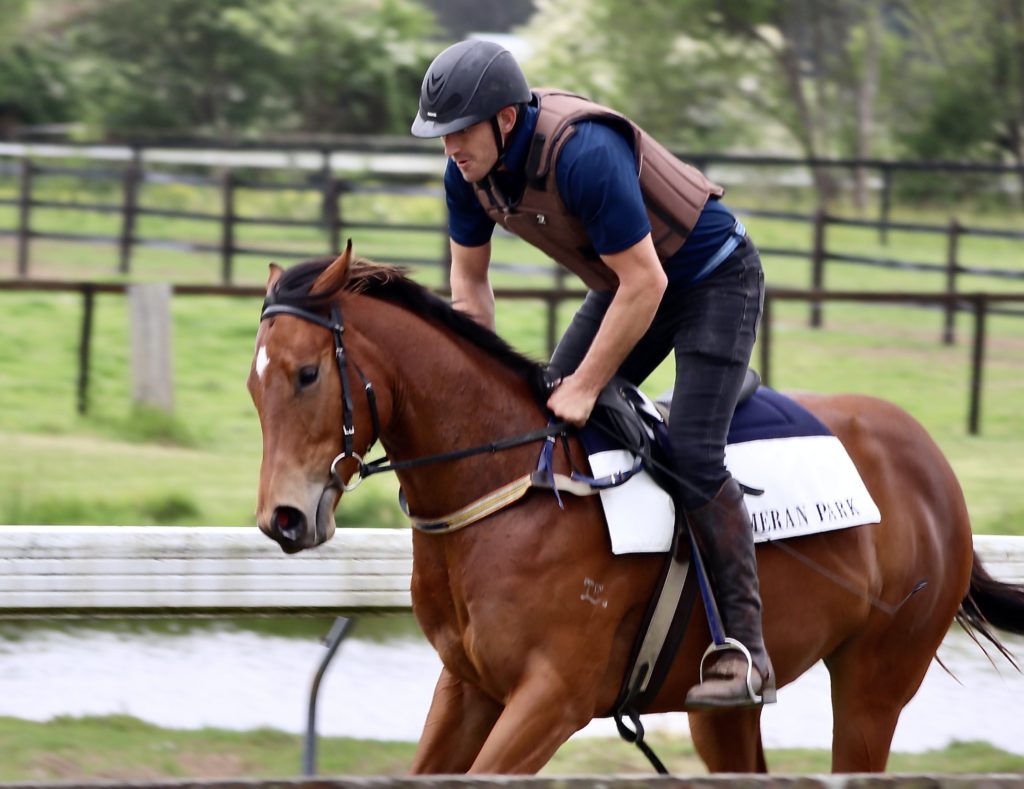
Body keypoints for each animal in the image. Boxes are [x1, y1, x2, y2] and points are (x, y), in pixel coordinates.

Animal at [247, 246, 1024, 774]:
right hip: (721, 709)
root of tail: (932, 463)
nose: (282, 518)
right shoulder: (468, 685)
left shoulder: (553, 696)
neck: (510, 482)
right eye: (255, 388)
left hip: (875, 682)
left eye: (308, 374)